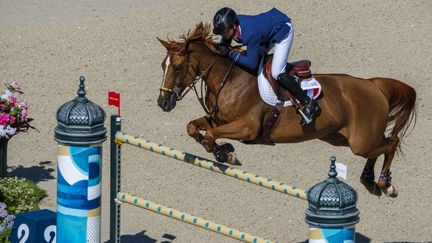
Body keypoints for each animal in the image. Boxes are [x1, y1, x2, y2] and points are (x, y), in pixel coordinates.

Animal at [155, 22, 416, 197]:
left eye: (177, 67)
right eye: (163, 66)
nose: (163, 103)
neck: (228, 79)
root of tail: (373, 85)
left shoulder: (247, 128)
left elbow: (209, 136)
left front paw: (225, 154)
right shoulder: (218, 120)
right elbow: (193, 128)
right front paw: (225, 152)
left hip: (359, 142)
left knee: (390, 143)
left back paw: (385, 184)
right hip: (338, 138)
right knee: (381, 146)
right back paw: (369, 180)